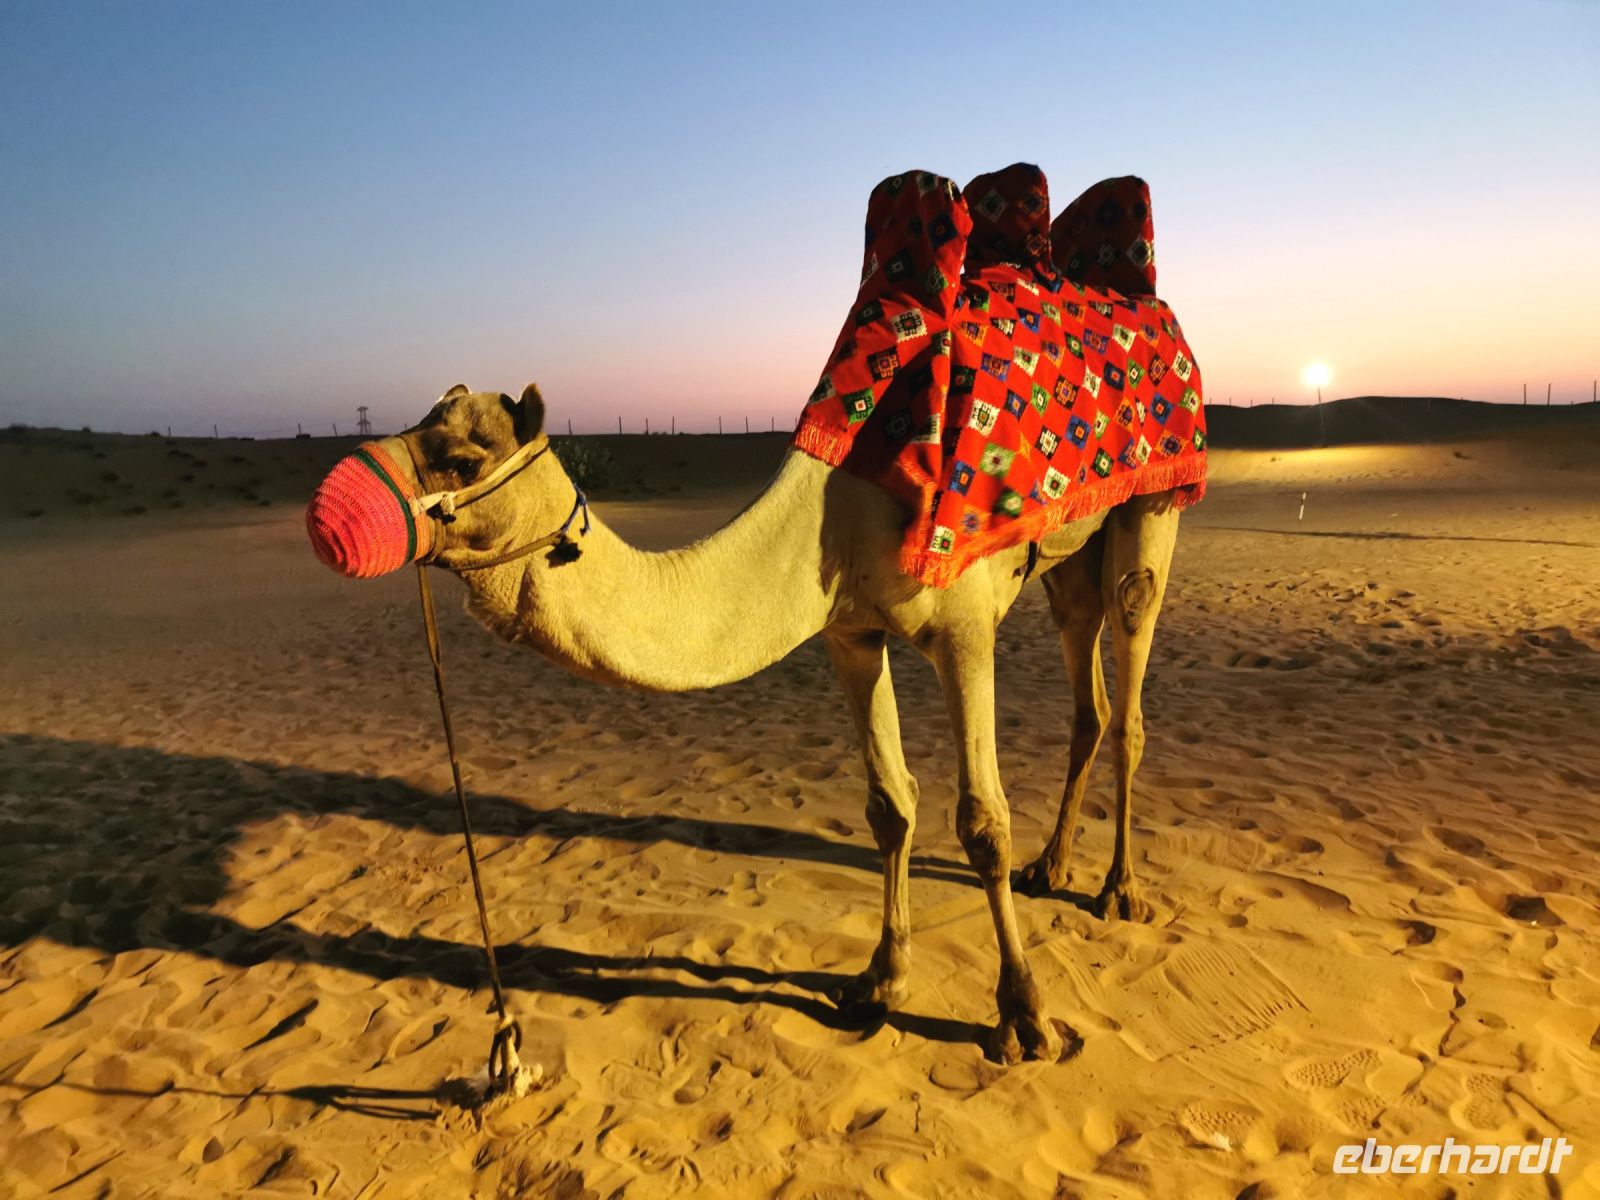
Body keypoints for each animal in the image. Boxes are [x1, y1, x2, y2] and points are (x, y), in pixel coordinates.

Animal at [314, 381, 1182, 1063]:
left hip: (1150, 508)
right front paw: (879, 980)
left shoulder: (963, 626)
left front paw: (1024, 1018)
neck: (833, 515)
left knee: (1131, 684)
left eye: (463, 457)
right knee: (1089, 696)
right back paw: (1053, 867)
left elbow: (982, 823)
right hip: (1070, 558)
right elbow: (889, 804)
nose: (331, 509)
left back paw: (1120, 891)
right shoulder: (850, 630)